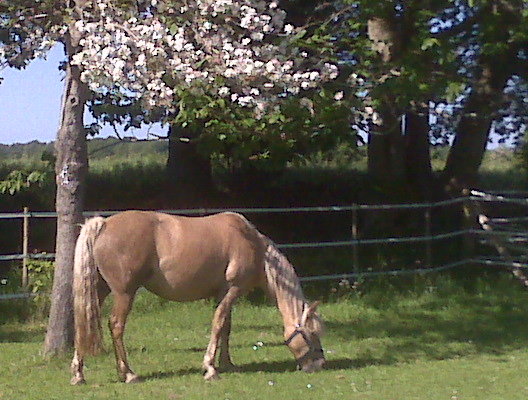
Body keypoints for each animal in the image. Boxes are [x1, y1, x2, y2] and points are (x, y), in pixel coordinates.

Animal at [69, 211, 326, 382]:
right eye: (312, 333)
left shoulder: (223, 293)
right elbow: (218, 324)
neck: (252, 244)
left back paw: (78, 374)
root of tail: (104, 224)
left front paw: (227, 364)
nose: (320, 364)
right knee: (116, 326)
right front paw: (210, 368)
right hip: (124, 293)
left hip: (100, 291)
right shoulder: (233, 289)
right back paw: (129, 373)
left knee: (82, 324)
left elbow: (226, 328)